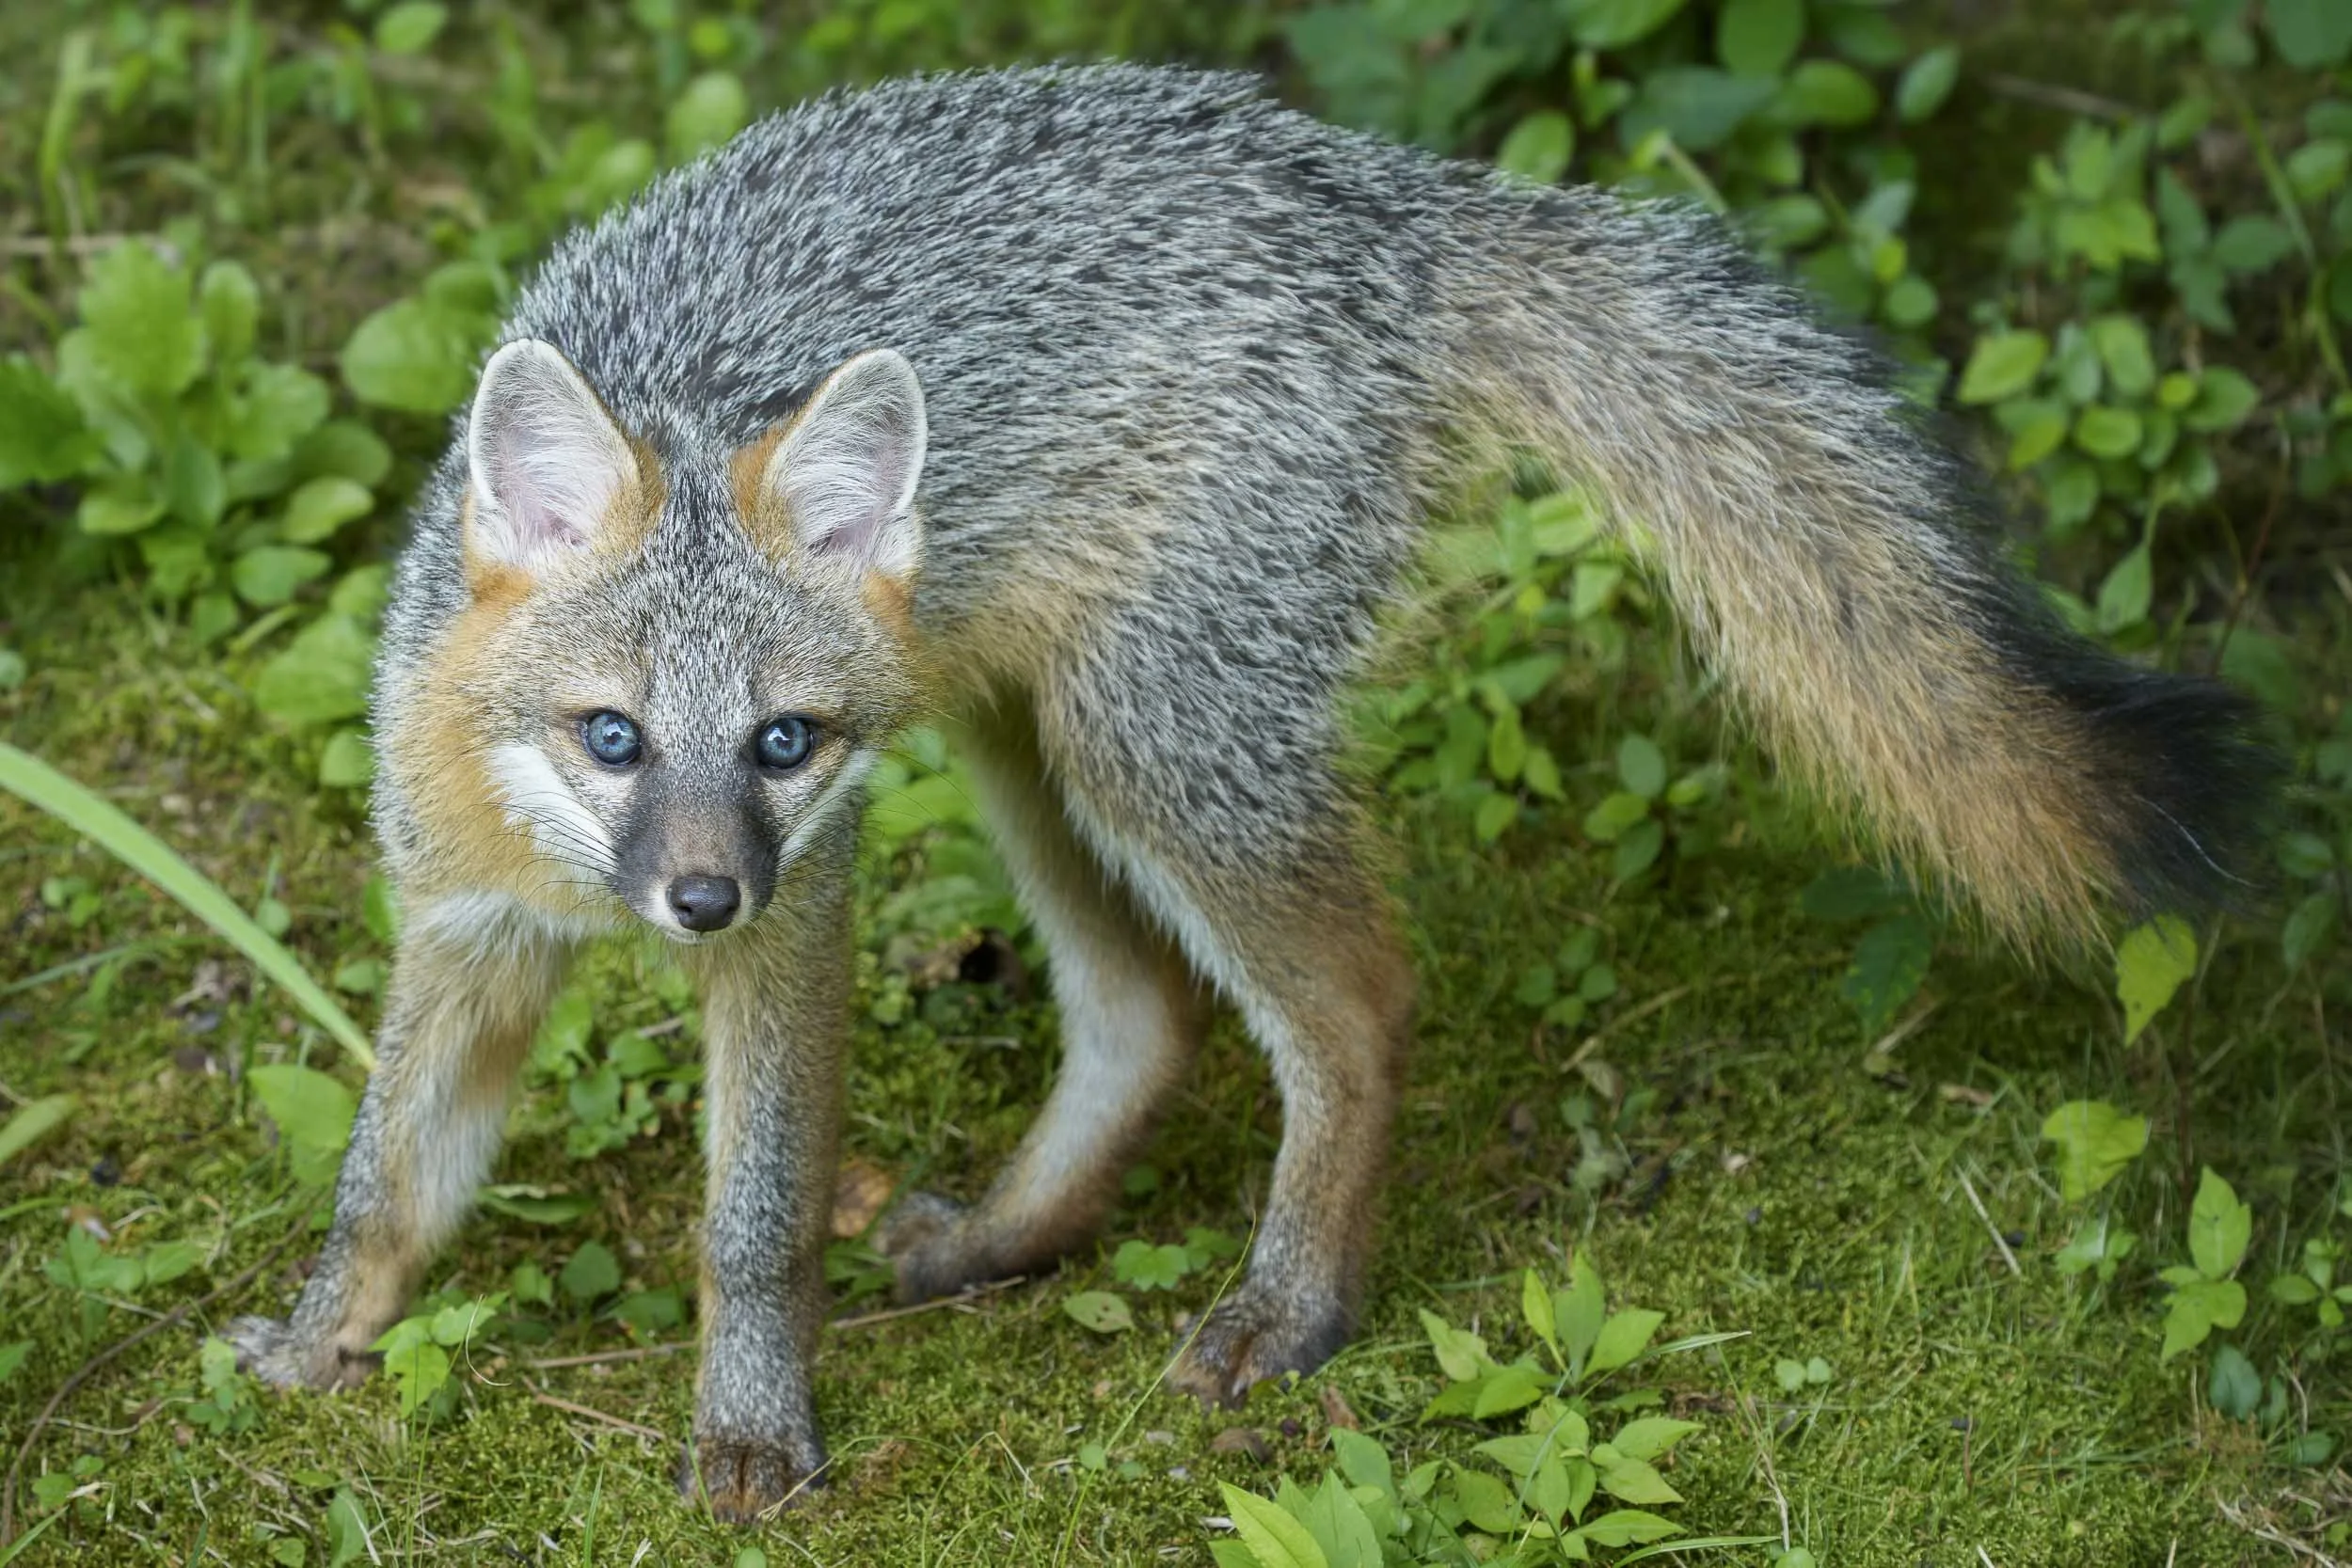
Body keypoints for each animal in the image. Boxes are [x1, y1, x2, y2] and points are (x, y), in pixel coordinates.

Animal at [229, 63, 2274, 1522]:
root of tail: (1383, 193)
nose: (702, 896)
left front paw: (747, 1427)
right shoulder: (462, 927)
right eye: (613, 735)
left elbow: (751, 1220)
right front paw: (317, 1347)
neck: (579, 884)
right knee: (1145, 1011)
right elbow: (387, 1177)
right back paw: (1003, 1240)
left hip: (1147, 743)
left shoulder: (803, 923)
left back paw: (1291, 1305)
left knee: (1353, 1009)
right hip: (1032, 739)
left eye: (781, 743)